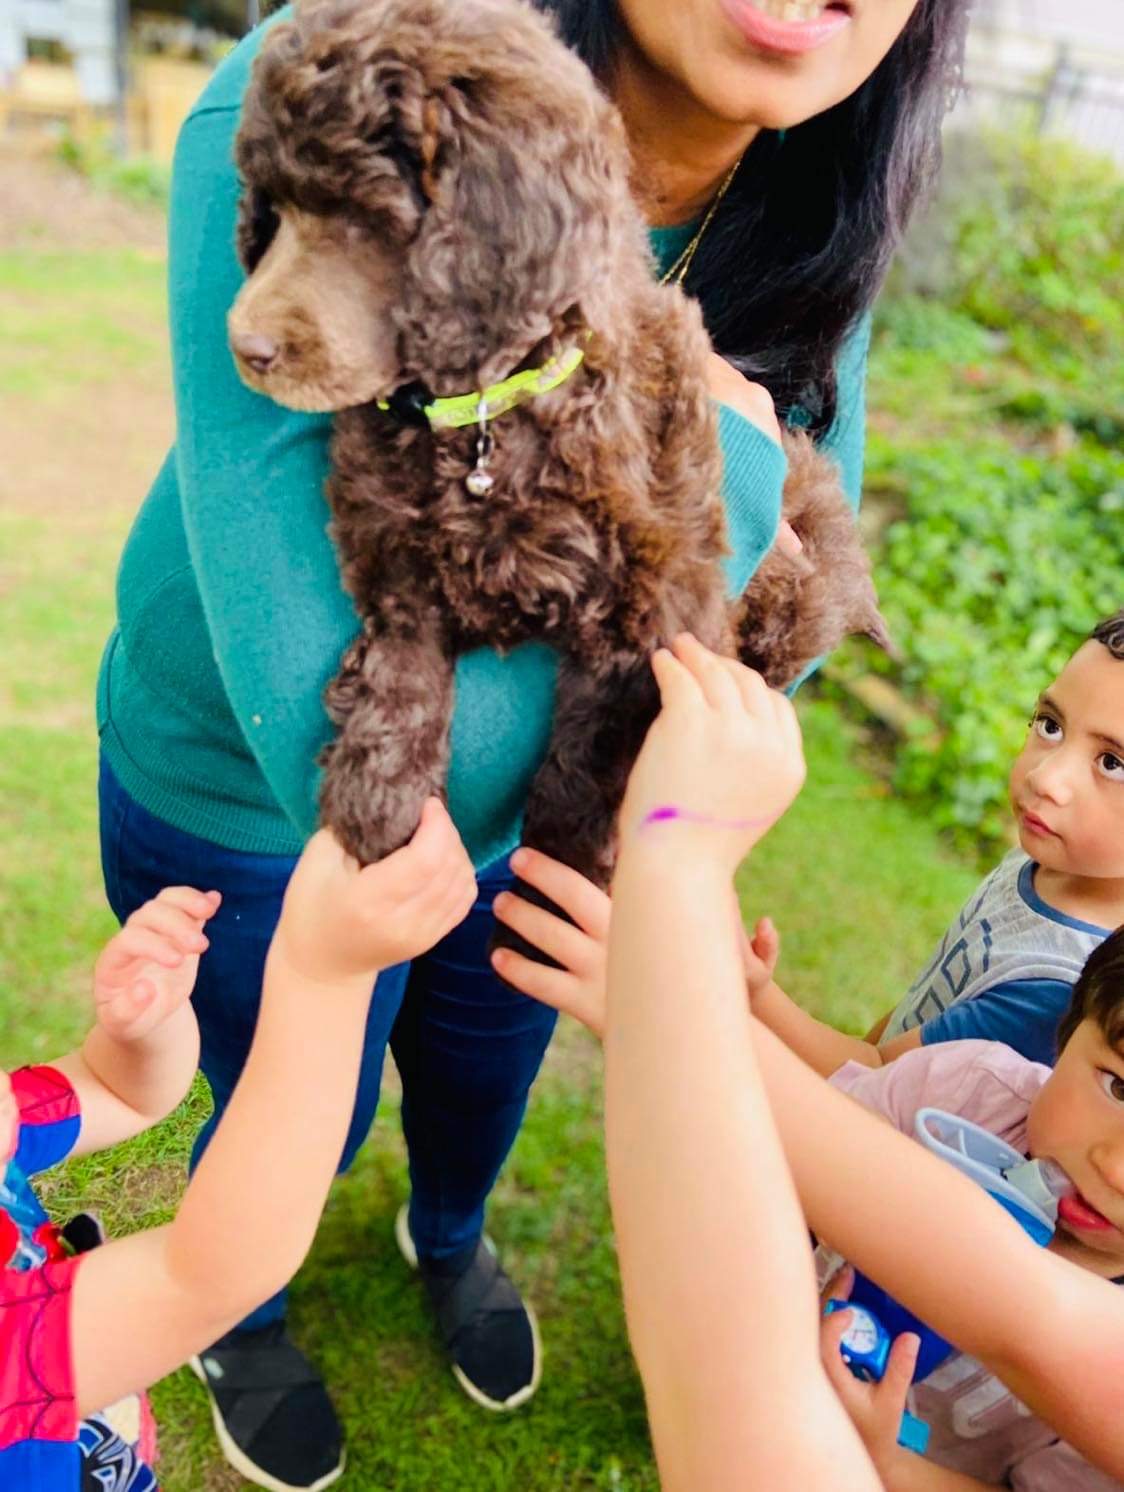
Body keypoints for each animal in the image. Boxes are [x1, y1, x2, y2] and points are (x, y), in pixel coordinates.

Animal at [228, 0, 883, 907]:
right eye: (278, 210)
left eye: (363, 219)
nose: (243, 346)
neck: (484, 414)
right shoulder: (398, 564)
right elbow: (404, 672)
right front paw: (376, 800)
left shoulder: (653, 608)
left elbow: (590, 764)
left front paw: (554, 890)